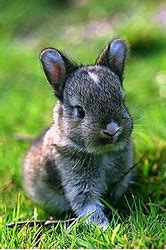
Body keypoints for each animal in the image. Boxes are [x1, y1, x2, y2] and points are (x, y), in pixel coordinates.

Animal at [23, 38, 134, 228]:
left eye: (122, 101)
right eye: (80, 111)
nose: (112, 130)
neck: (102, 153)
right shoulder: (78, 185)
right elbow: (88, 207)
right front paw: (105, 228)